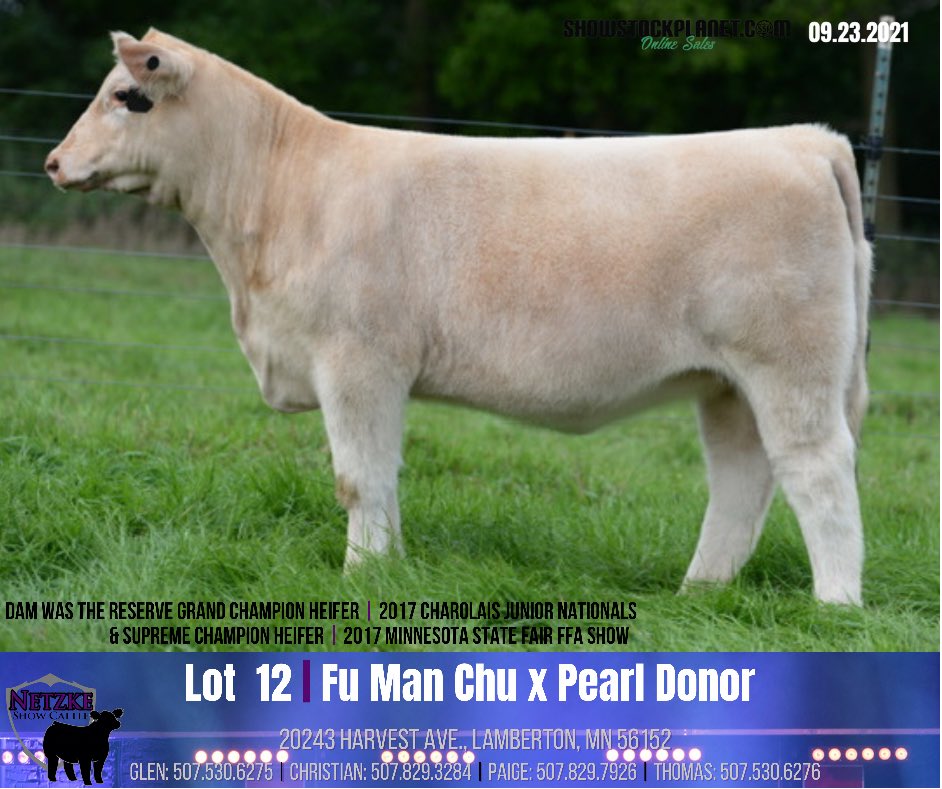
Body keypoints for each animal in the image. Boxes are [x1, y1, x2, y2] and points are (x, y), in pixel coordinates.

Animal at [45, 30, 871, 604]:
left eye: (128, 96)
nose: (54, 162)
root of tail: (800, 139)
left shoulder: (357, 359)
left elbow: (358, 477)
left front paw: (360, 576)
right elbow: (378, 477)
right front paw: (386, 569)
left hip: (790, 368)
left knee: (818, 470)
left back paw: (835, 604)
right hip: (726, 384)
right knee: (741, 482)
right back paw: (697, 592)